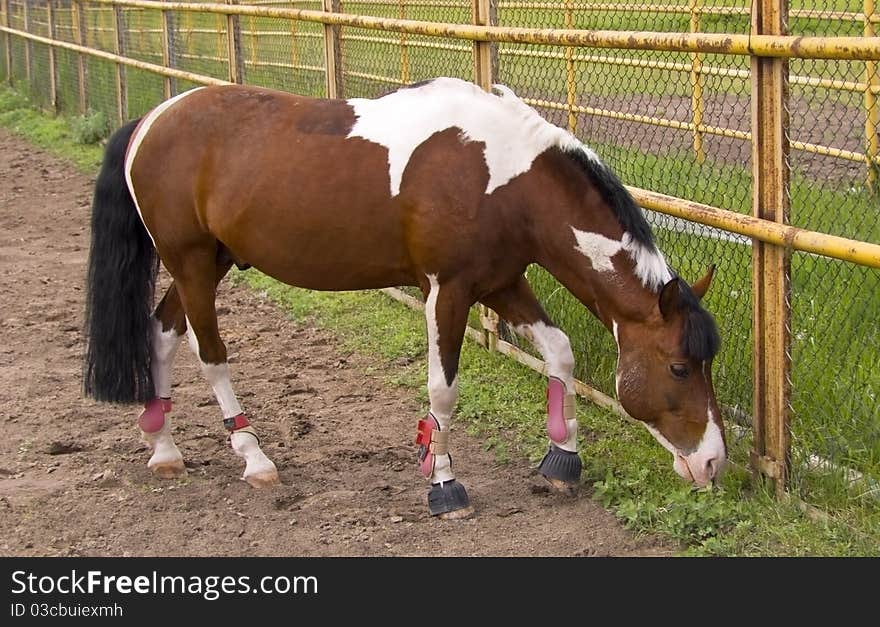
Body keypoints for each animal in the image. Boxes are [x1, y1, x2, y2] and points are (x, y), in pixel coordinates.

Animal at [86, 77, 724, 520]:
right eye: (679, 366)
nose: (713, 461)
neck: (502, 177)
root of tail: (149, 121)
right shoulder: (448, 290)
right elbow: (443, 391)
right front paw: (443, 484)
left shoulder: (501, 283)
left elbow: (560, 351)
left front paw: (562, 460)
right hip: (192, 263)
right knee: (209, 354)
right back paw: (254, 457)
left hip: (208, 263)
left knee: (160, 334)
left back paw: (164, 449)